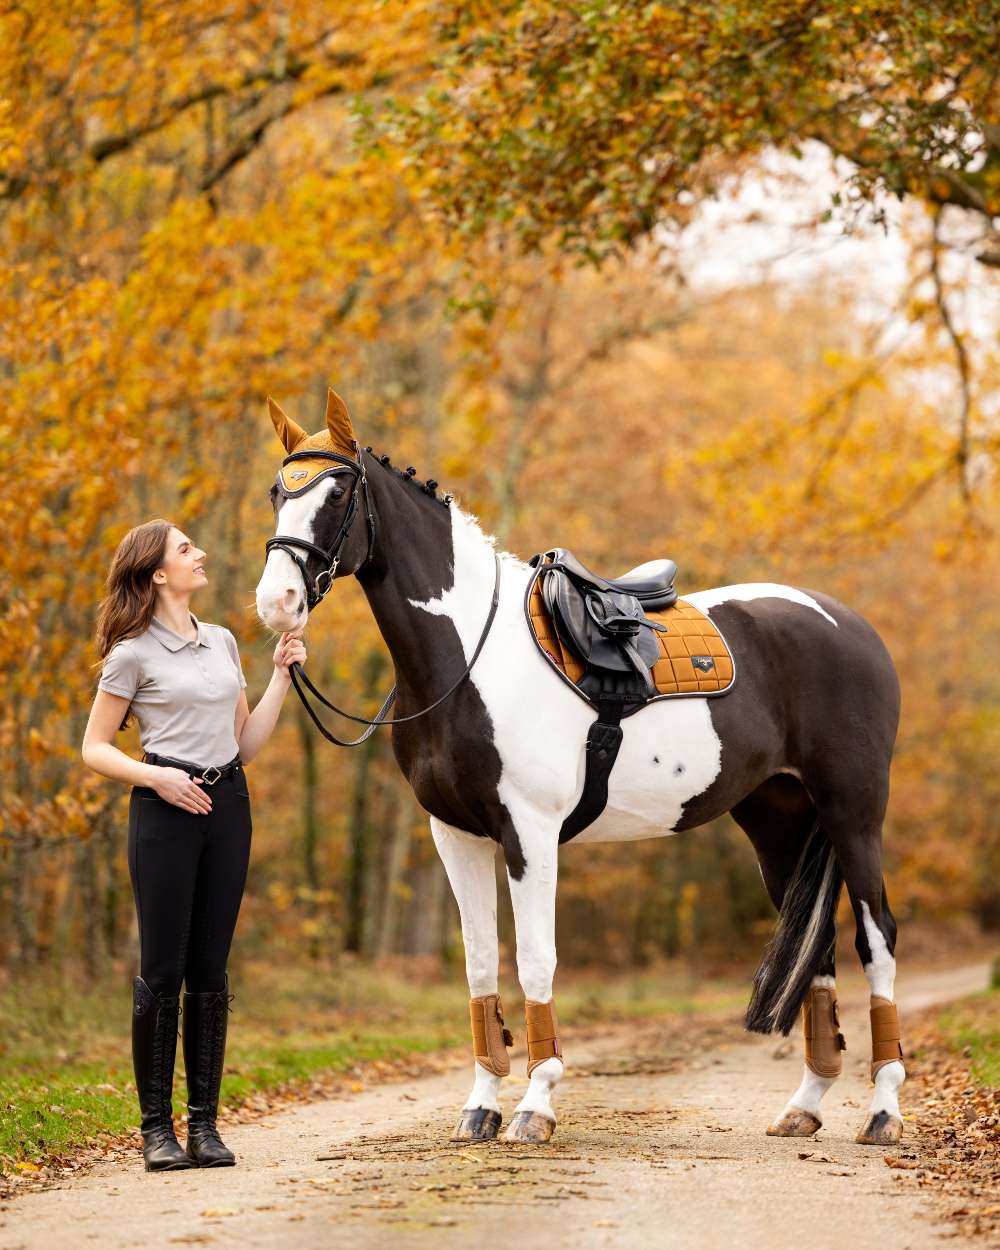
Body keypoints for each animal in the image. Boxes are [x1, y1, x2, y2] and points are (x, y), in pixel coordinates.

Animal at [252, 392, 905, 1150]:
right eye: (277, 493)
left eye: (338, 493)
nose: (277, 604)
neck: (470, 657)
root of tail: (848, 624)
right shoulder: (456, 836)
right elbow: (481, 963)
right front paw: (479, 1107)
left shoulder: (529, 834)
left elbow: (535, 959)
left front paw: (534, 1105)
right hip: (778, 823)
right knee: (819, 949)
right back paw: (806, 1105)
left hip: (853, 814)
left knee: (876, 938)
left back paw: (884, 1111)